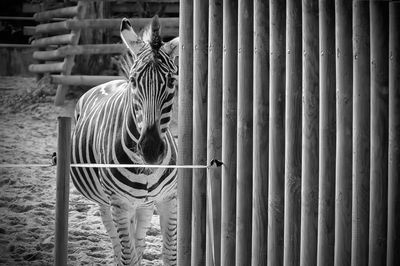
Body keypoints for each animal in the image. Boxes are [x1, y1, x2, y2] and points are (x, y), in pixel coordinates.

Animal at [70, 16, 180, 266]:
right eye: (134, 81)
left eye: (171, 81)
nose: (150, 150)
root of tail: (109, 82)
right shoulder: (119, 204)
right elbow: (127, 255)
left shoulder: (168, 199)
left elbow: (169, 254)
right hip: (106, 202)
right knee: (116, 240)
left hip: (143, 204)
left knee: (138, 240)